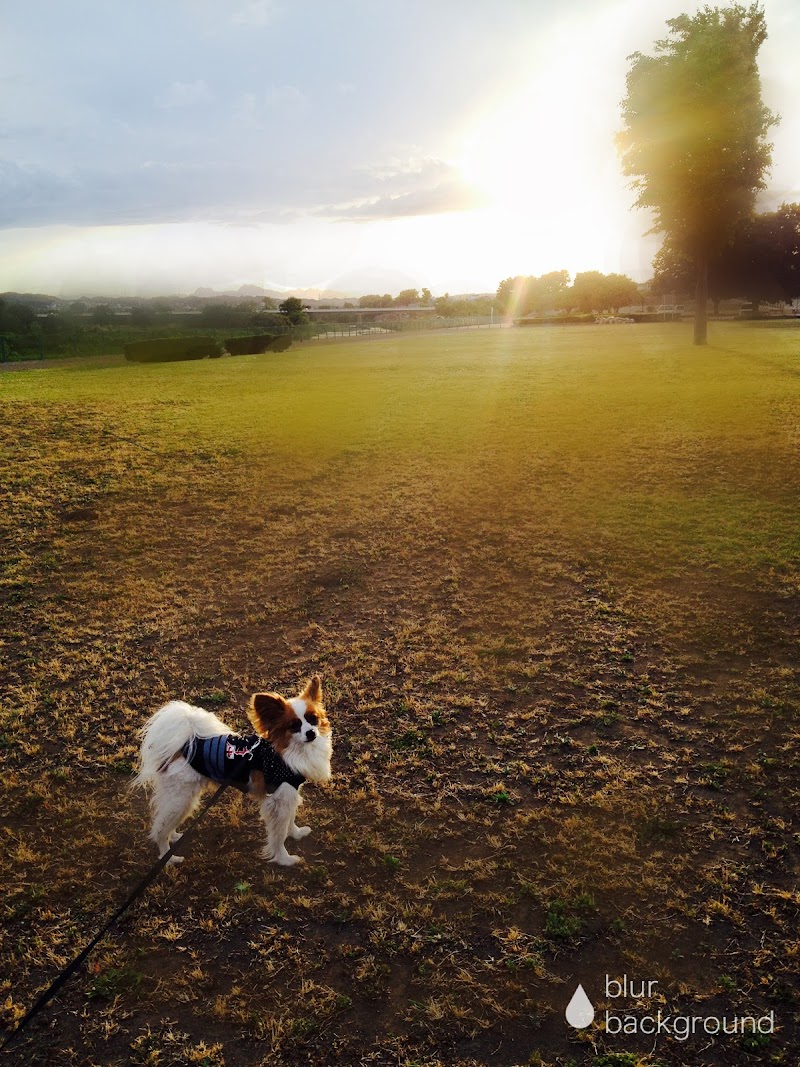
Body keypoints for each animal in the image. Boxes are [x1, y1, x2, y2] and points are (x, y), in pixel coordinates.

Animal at [132, 674, 332, 866]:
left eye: (313, 718)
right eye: (294, 726)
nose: (311, 733)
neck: (286, 751)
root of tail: (182, 748)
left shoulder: (289, 794)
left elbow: (290, 820)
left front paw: (296, 833)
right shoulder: (278, 802)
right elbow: (278, 835)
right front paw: (284, 859)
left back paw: (174, 837)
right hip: (180, 799)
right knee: (159, 829)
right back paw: (168, 858)